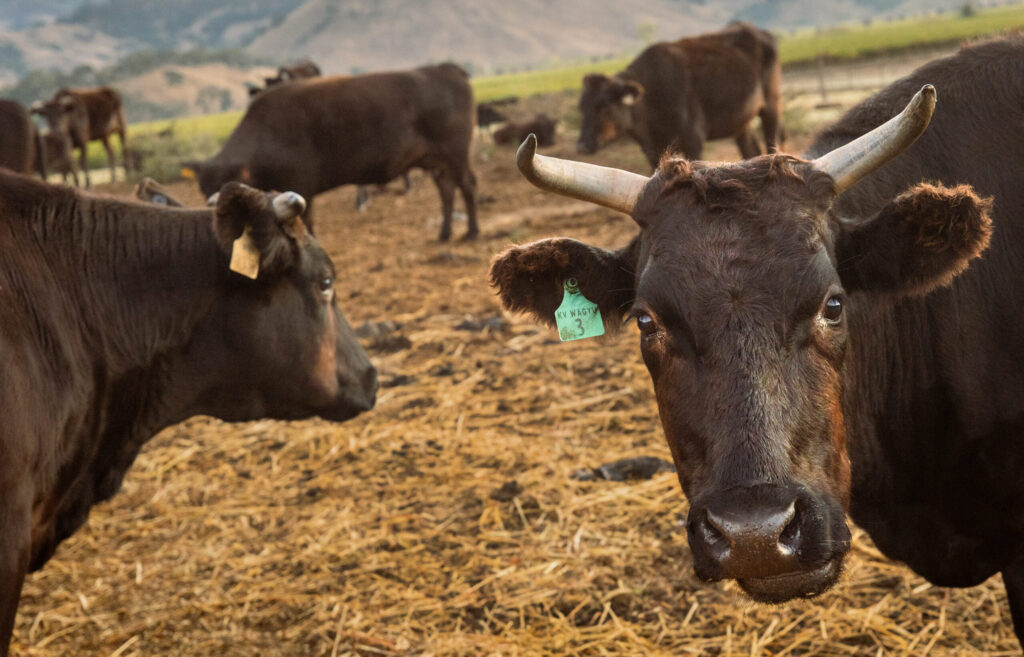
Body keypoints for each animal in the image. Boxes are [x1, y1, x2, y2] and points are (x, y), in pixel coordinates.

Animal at [191, 63, 478, 241]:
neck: (266, 134)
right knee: (447, 190)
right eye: (205, 191)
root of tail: (447, 69)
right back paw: (444, 234)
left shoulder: (301, 189)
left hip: (456, 156)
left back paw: (472, 232)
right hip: (437, 163)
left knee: (466, 186)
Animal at [577, 21, 782, 167]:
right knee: (752, 151)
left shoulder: (693, 140)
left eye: (603, 106)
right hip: (741, 123)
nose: (583, 145)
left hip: (771, 106)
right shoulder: (653, 151)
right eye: (582, 107)